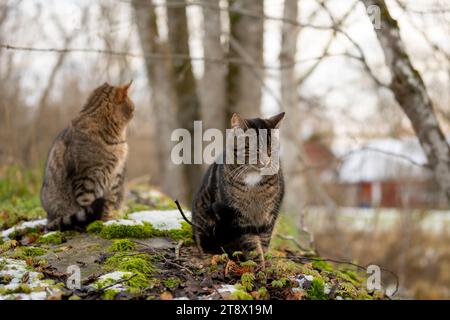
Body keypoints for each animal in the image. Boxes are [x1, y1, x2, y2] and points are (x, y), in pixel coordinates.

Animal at [40, 81, 134, 229]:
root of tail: (48, 220)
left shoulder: (115, 177)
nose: (135, 112)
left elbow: (109, 203)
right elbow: (87, 204)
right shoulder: (87, 178)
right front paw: (94, 222)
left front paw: (107, 220)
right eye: (132, 108)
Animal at [191, 112, 284, 262]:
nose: (266, 162)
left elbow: (264, 240)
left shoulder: (269, 214)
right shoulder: (239, 217)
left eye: (271, 149)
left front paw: (265, 262)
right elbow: (251, 243)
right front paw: (257, 264)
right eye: (255, 149)